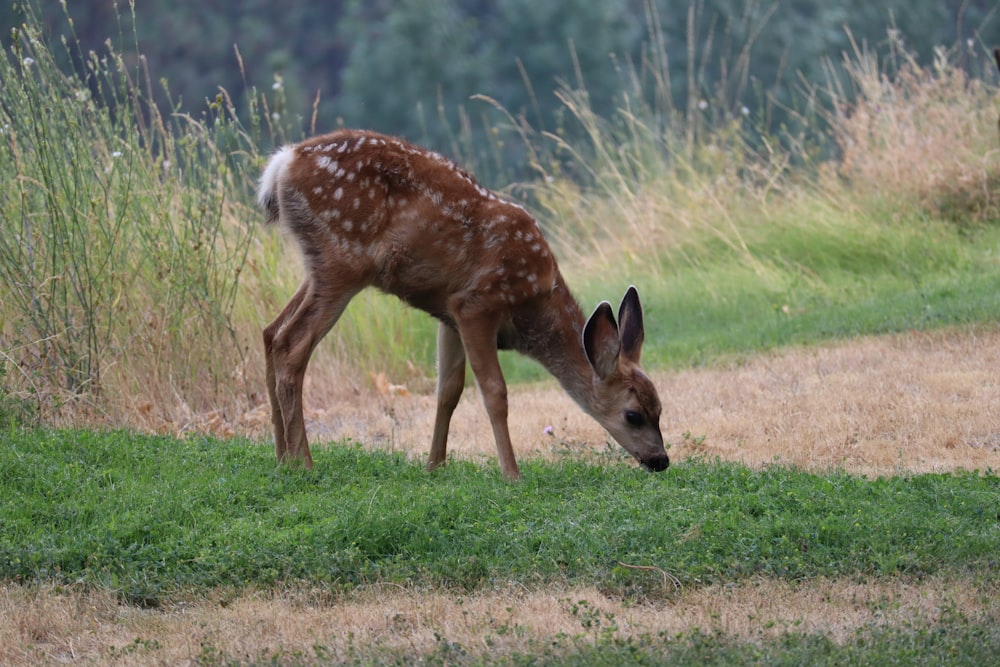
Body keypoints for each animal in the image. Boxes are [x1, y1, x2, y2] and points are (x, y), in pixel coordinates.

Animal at [258, 129, 668, 480]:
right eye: (633, 415)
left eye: (660, 408)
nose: (661, 460)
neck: (533, 304)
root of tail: (282, 164)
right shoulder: (476, 304)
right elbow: (494, 391)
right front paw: (512, 473)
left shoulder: (448, 313)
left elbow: (449, 391)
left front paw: (434, 466)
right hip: (343, 261)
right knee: (292, 344)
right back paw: (303, 462)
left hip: (319, 267)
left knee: (270, 332)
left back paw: (280, 457)